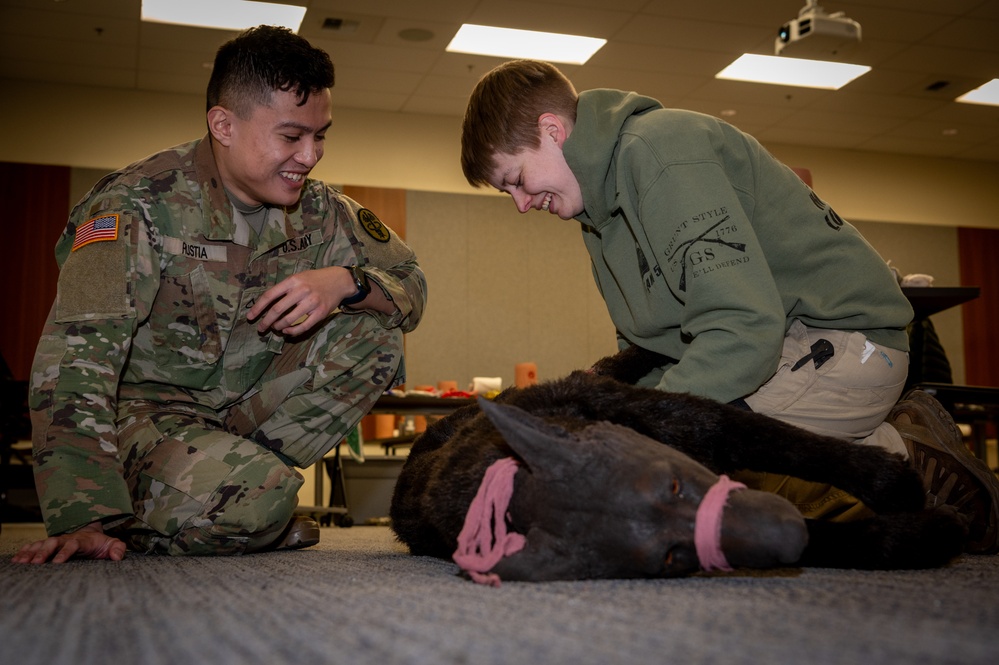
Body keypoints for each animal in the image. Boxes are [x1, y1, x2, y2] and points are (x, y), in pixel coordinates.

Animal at [392, 348, 968, 580]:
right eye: (672, 556)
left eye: (674, 483)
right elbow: (840, 536)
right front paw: (924, 532)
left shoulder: (694, 419)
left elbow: (792, 443)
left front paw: (893, 483)